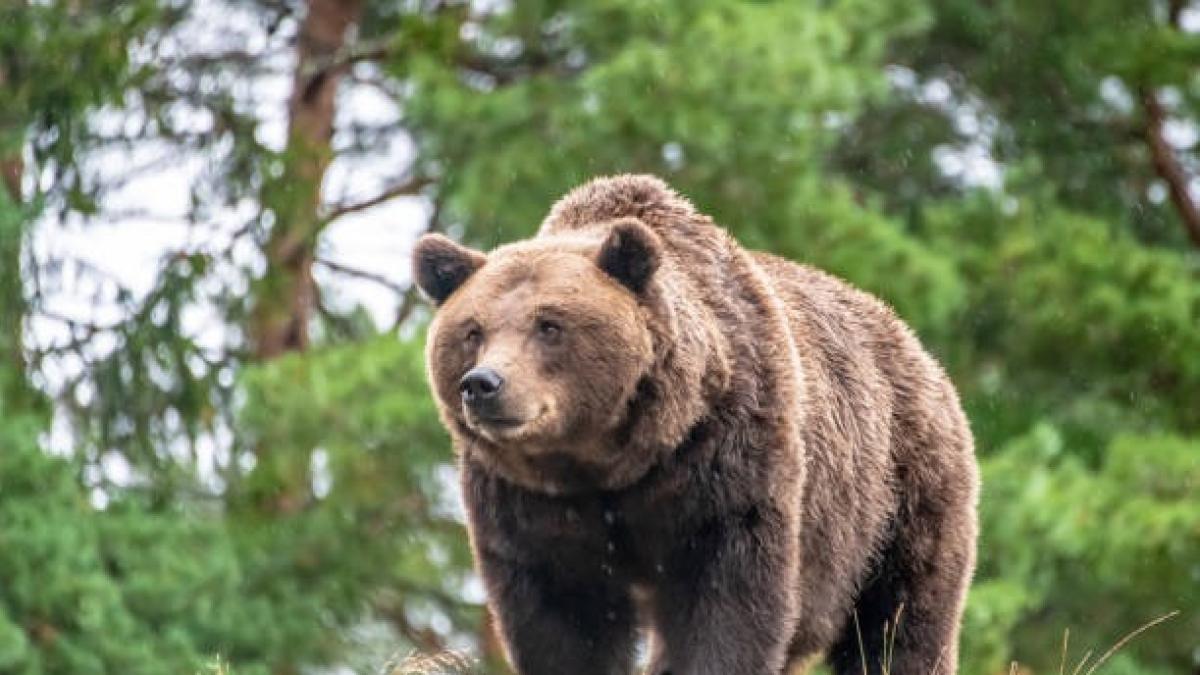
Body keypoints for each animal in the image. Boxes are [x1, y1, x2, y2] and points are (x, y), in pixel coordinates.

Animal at [410, 174, 974, 672]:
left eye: (549, 325)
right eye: (472, 331)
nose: (483, 384)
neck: (610, 461)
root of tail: (915, 346)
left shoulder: (727, 463)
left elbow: (729, 602)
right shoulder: (529, 504)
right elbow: (561, 619)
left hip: (898, 497)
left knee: (899, 621)